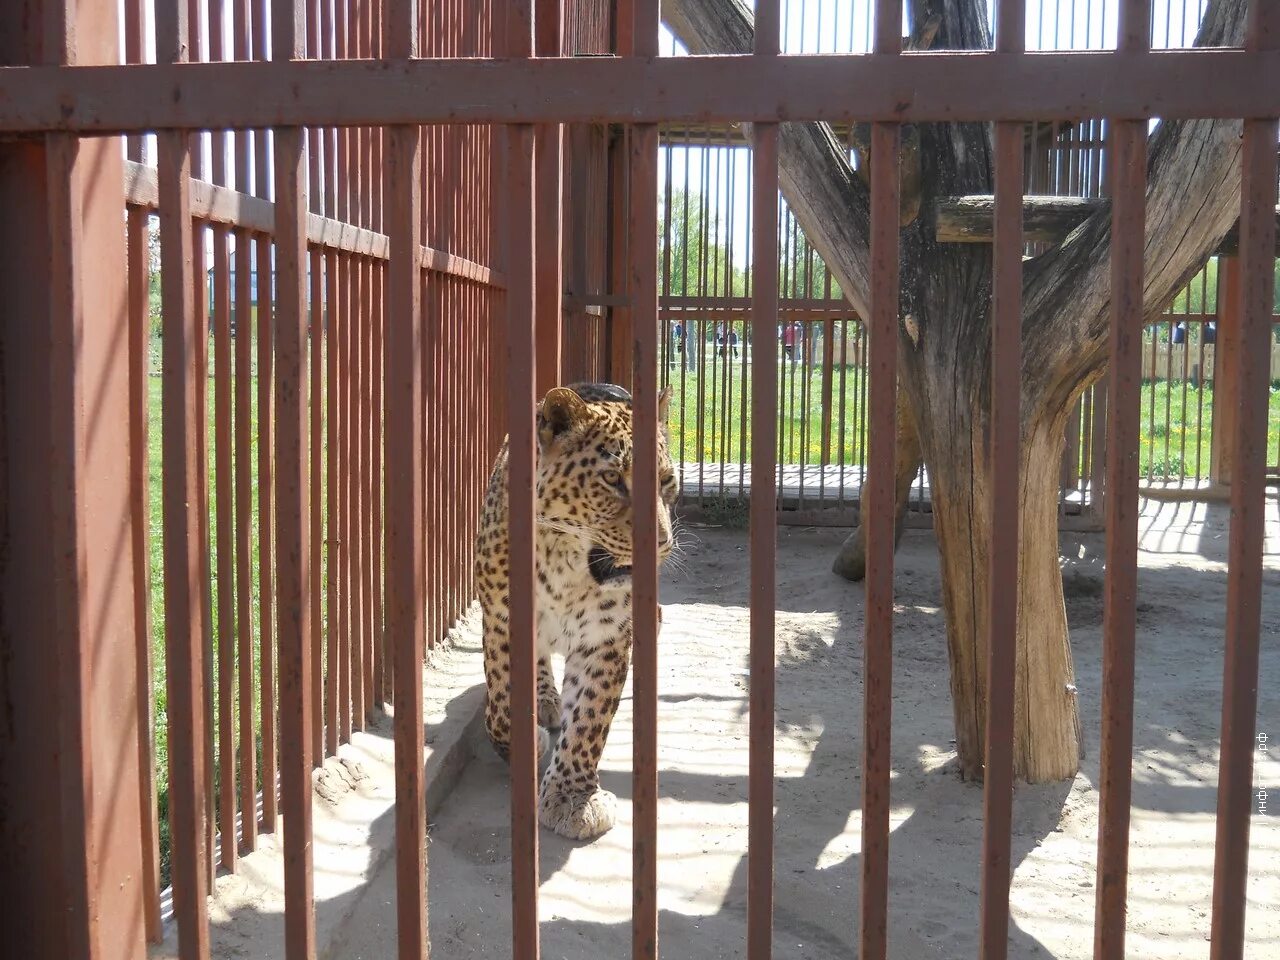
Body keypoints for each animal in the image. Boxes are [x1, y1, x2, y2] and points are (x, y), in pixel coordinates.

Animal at [476, 384, 680, 839]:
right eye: (612, 479)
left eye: (666, 481)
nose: (660, 543)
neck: (564, 568)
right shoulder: (500, 618)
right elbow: (500, 702)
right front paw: (525, 740)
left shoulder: (605, 637)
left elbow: (589, 716)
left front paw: (572, 797)